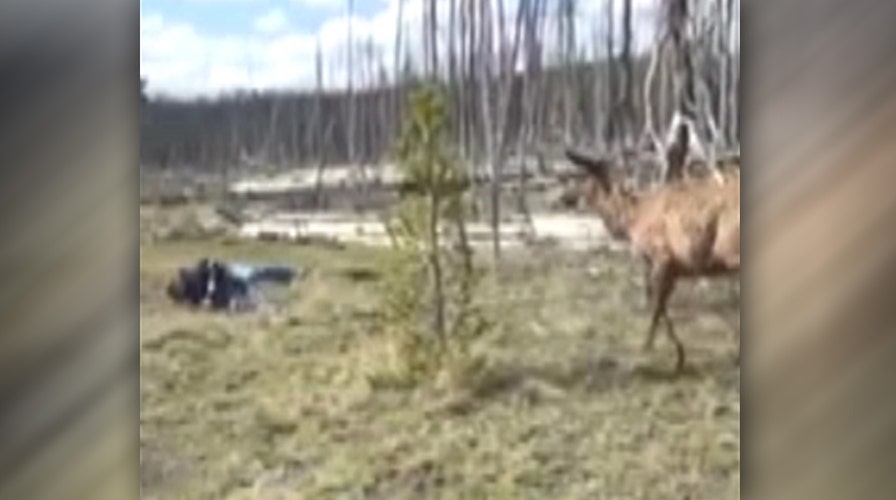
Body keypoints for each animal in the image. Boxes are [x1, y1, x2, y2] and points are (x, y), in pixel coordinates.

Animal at [564, 148, 740, 374]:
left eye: (586, 182)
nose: (566, 199)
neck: (632, 219)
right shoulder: (674, 268)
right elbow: (661, 306)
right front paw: (678, 356)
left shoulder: (662, 256)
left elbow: (656, 307)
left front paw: (649, 350)